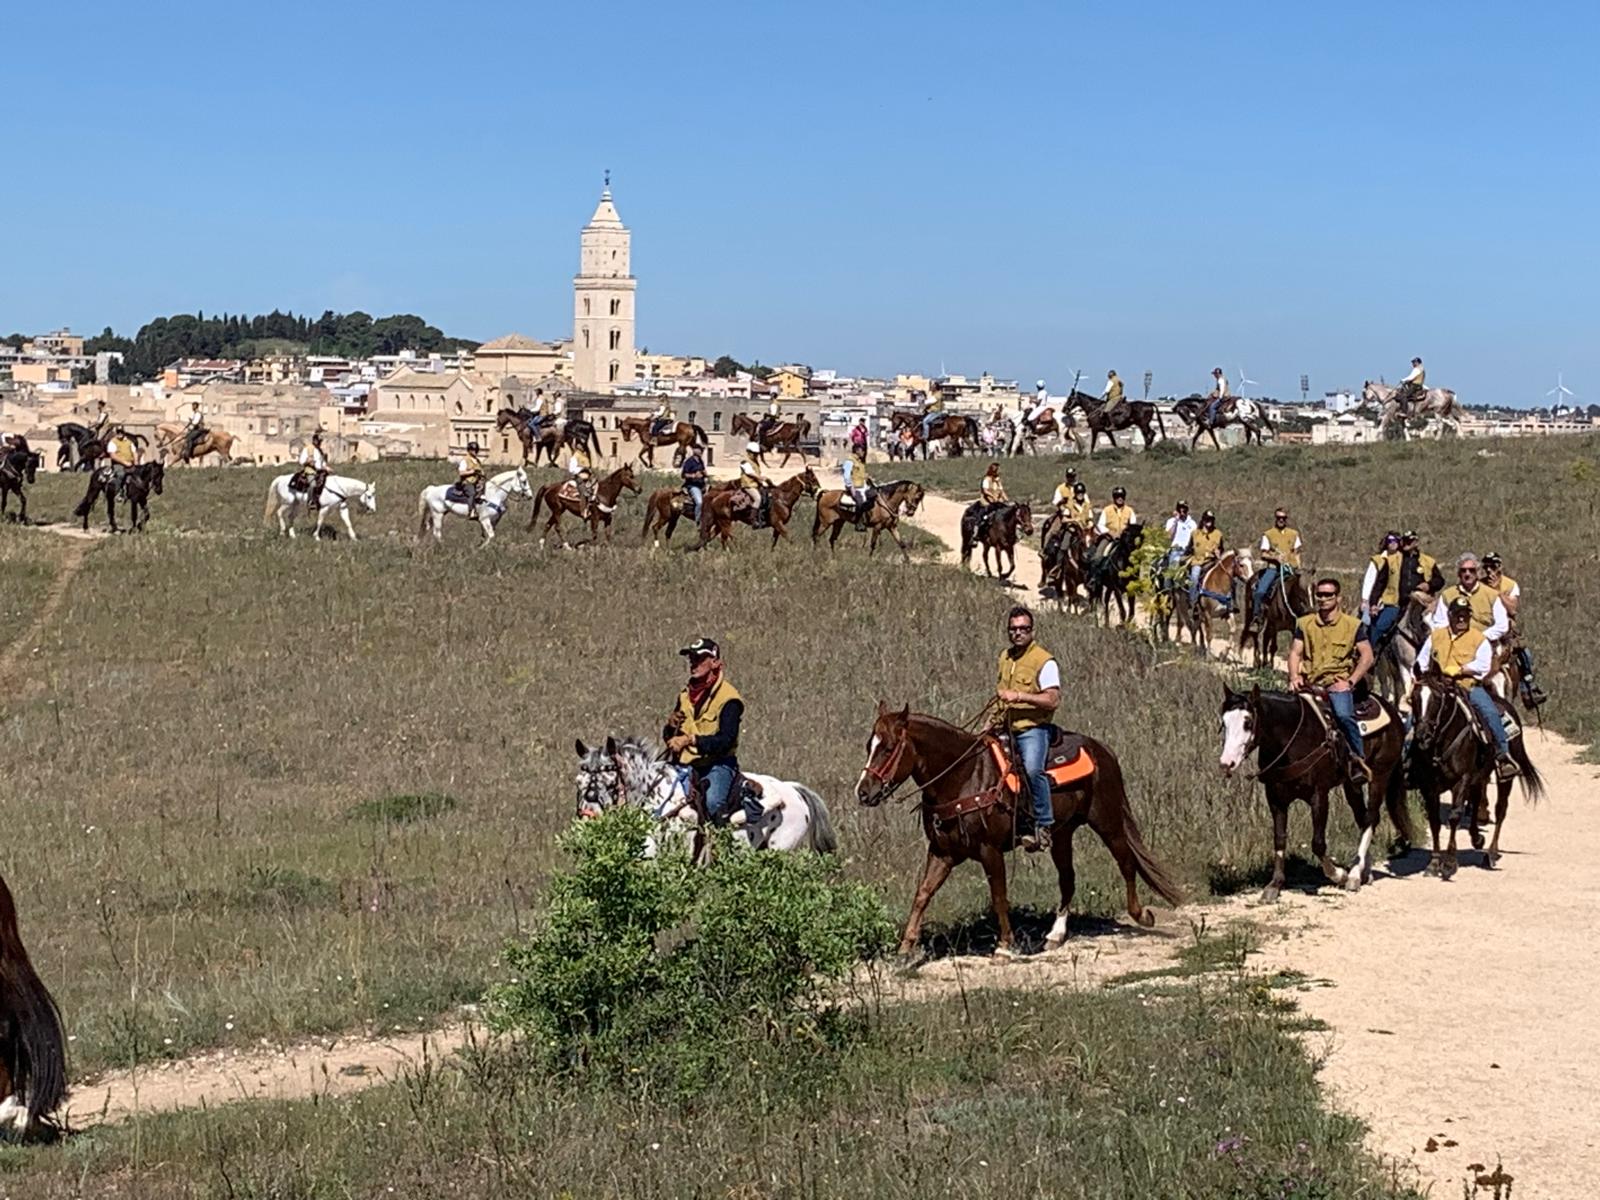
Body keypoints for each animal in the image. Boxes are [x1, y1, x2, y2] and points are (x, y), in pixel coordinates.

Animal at [579, 732, 851, 857]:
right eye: (578, 781)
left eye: (610, 781)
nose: (587, 819)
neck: (657, 797)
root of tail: (795, 790)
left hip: (779, 848)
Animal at [857, 704, 1184, 960]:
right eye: (868, 745)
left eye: (887, 748)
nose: (863, 792)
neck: (963, 777)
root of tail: (1103, 751)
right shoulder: (942, 852)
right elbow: (923, 894)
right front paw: (905, 947)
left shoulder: (990, 850)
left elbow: (999, 895)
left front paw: (1005, 945)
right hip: (1061, 834)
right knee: (1068, 878)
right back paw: (1055, 935)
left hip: (1108, 821)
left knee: (1126, 862)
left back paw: (1141, 915)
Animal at [1216, 684, 1408, 902]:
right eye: (1224, 722)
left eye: (1247, 722)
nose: (1226, 763)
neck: (1293, 739)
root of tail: (1392, 711)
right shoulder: (1275, 798)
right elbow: (1279, 838)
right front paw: (1275, 884)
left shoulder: (1319, 796)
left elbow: (1317, 843)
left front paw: (1339, 875)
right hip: (1352, 785)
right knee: (1362, 817)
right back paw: (1363, 871)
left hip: (1380, 775)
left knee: (1371, 818)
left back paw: (1353, 876)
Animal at [1414, 678, 1536, 883]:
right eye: (1413, 699)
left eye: (1437, 700)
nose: (1422, 736)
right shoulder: (1429, 787)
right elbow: (1434, 821)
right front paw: (1434, 863)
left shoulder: (1461, 781)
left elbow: (1455, 816)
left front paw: (1449, 864)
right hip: (1479, 776)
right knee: (1478, 799)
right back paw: (1477, 838)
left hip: (1504, 777)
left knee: (1501, 809)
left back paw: (1491, 854)